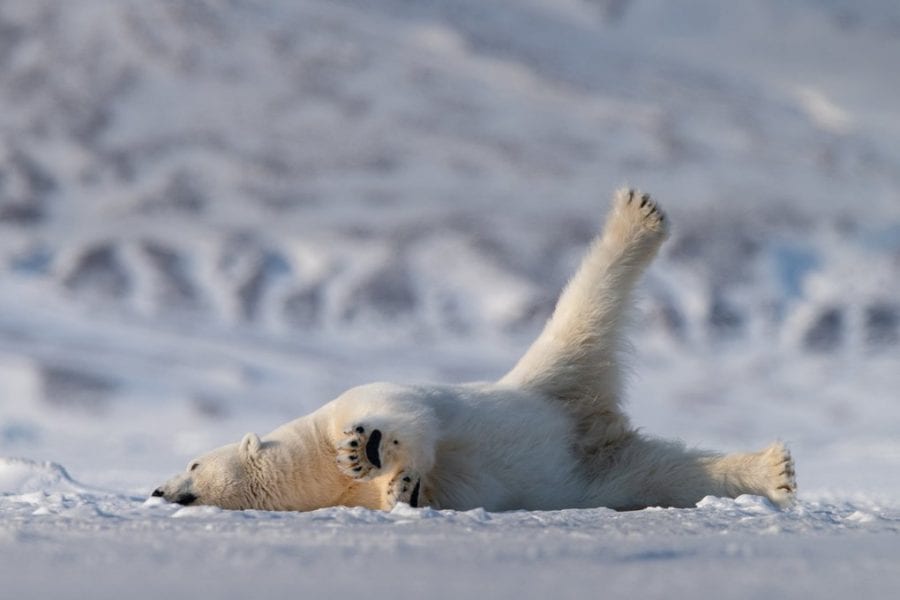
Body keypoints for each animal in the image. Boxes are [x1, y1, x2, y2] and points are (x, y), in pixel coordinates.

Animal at [153, 191, 796, 510]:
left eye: (193, 463)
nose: (159, 491)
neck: (311, 468)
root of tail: (588, 422)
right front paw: (402, 490)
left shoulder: (355, 400)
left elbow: (405, 416)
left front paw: (369, 450)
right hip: (596, 464)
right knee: (667, 475)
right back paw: (774, 471)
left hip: (551, 370)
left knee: (585, 305)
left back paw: (636, 217)